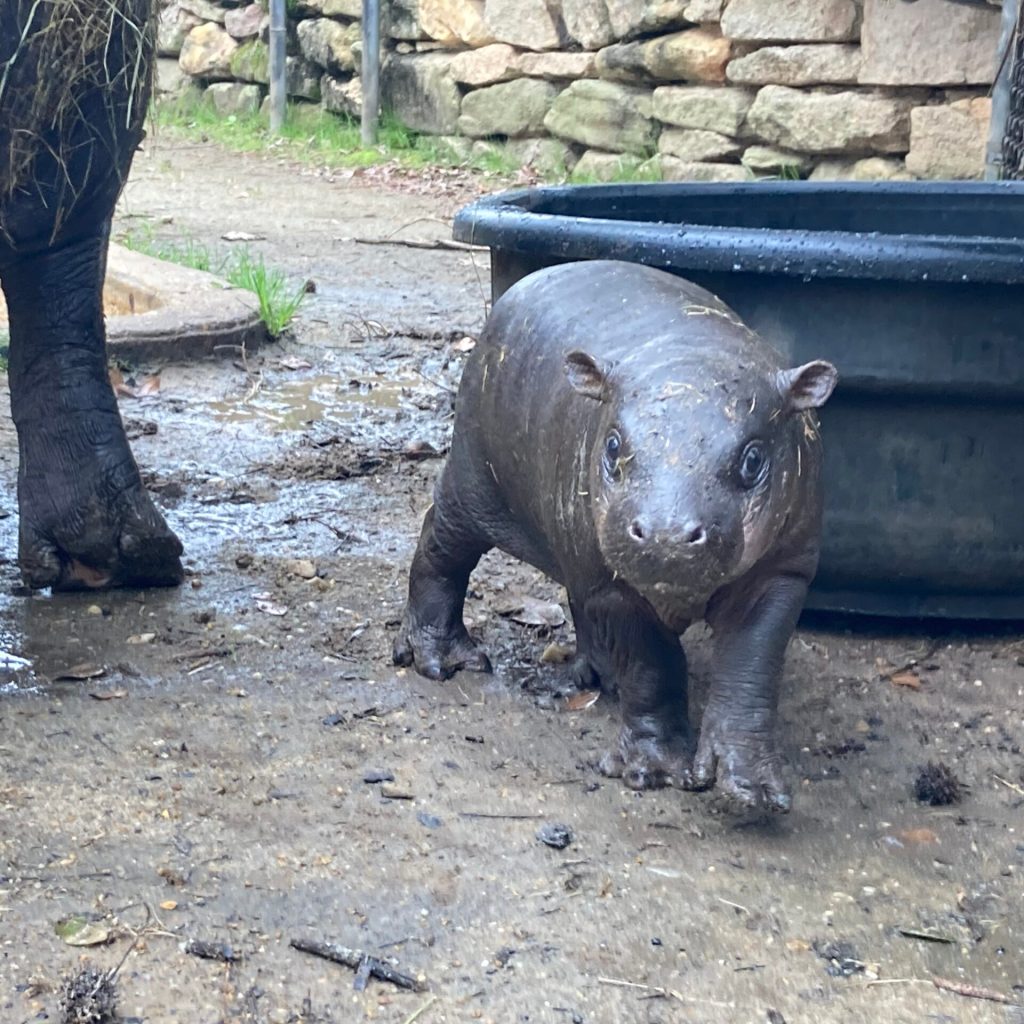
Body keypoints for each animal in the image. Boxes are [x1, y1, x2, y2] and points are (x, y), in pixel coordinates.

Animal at [394, 260, 838, 812]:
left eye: (753, 458)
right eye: (612, 445)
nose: (667, 534)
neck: (692, 356)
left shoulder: (784, 570)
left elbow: (751, 667)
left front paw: (751, 789)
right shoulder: (613, 584)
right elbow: (651, 665)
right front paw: (652, 771)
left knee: (574, 595)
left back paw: (597, 677)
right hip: (474, 478)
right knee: (441, 545)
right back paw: (444, 661)